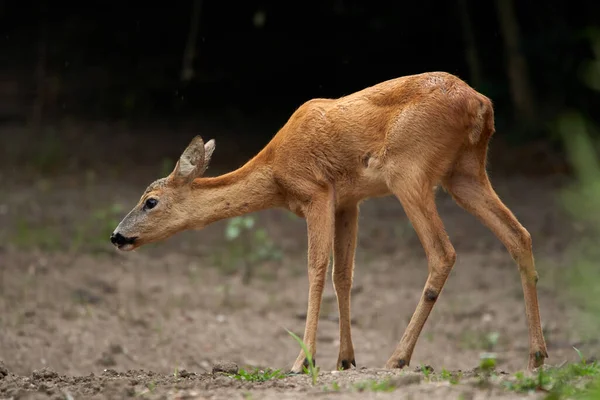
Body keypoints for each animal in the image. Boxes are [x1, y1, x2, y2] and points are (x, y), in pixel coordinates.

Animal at [111, 70, 548, 374]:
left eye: (150, 202)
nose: (117, 236)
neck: (275, 171)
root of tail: (481, 105)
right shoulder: (348, 202)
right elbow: (344, 275)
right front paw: (345, 359)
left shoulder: (316, 191)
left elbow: (316, 268)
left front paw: (302, 361)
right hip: (465, 172)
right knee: (520, 235)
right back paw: (536, 356)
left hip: (410, 170)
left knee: (444, 252)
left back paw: (398, 358)